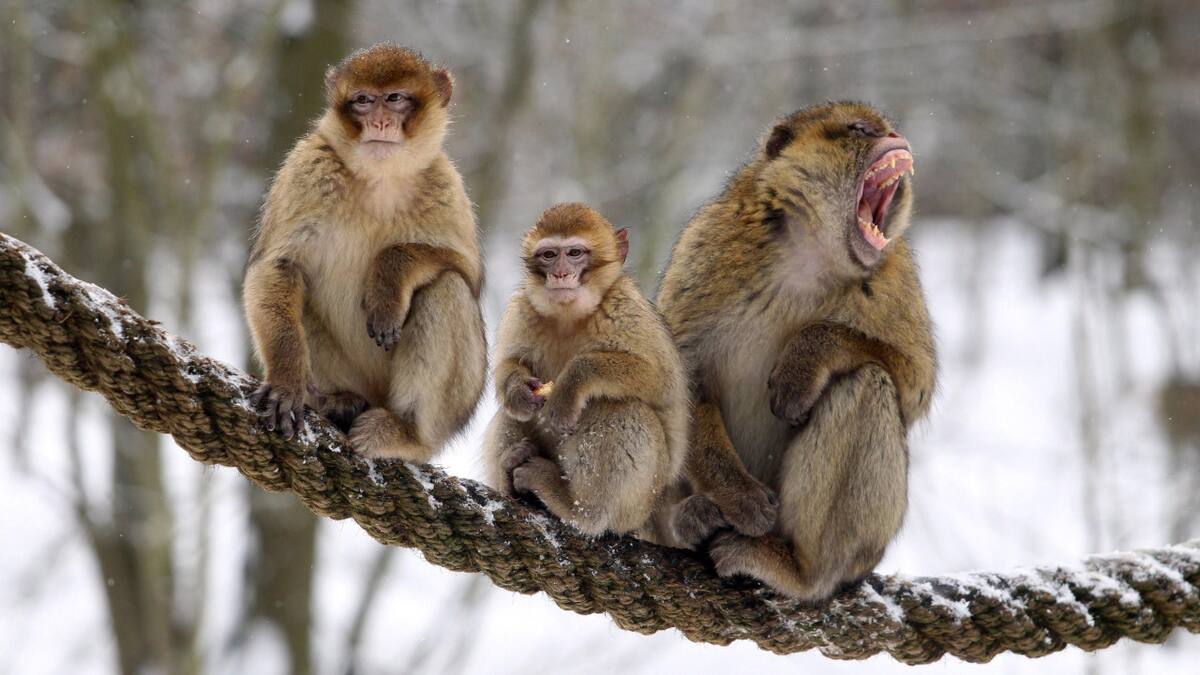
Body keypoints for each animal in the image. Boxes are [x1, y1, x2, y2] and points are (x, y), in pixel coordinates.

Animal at [243, 43, 486, 463]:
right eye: (362, 101)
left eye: (395, 98)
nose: (379, 122)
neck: (380, 180)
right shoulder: (306, 171)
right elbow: (277, 267)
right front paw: (286, 381)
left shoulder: (446, 185)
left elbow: (466, 269)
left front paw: (387, 281)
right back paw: (338, 401)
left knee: (448, 288)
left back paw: (407, 432)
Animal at [482, 203, 689, 539]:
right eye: (549, 255)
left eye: (575, 253)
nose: (560, 274)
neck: (570, 317)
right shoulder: (521, 310)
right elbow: (509, 365)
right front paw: (517, 390)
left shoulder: (627, 311)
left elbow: (660, 380)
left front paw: (570, 384)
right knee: (511, 416)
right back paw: (513, 478)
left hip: (638, 503)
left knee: (618, 408)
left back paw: (577, 508)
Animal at [656, 102, 937, 601]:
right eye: (860, 130)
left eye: (886, 128)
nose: (898, 138)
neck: (812, 254)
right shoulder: (707, 248)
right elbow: (680, 378)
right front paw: (741, 497)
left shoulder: (894, 277)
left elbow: (916, 382)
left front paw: (805, 361)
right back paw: (686, 521)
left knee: (866, 382)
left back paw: (801, 571)